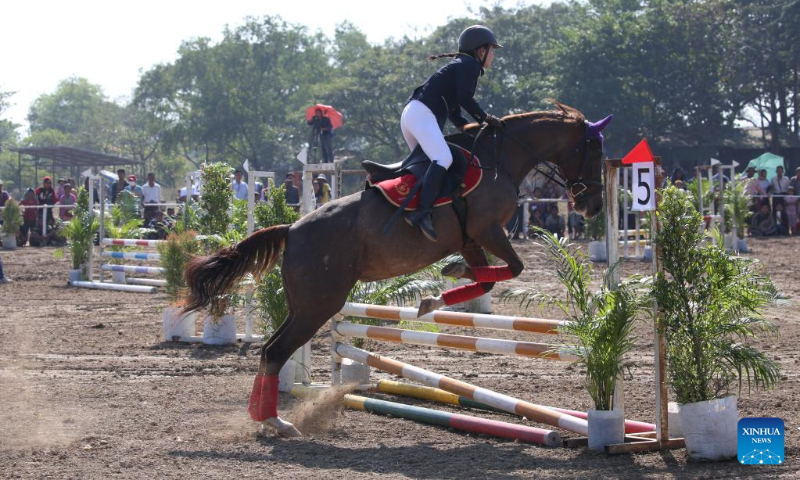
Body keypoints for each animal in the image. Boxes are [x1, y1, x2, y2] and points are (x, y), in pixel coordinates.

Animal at [186, 100, 612, 436]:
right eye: (592, 147)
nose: (592, 206)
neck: (500, 160)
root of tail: (291, 229)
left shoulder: (471, 239)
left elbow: (487, 281)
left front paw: (438, 294)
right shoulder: (489, 230)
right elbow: (515, 267)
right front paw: (445, 282)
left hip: (303, 305)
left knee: (271, 350)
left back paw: (264, 417)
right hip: (319, 305)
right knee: (275, 351)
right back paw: (275, 421)